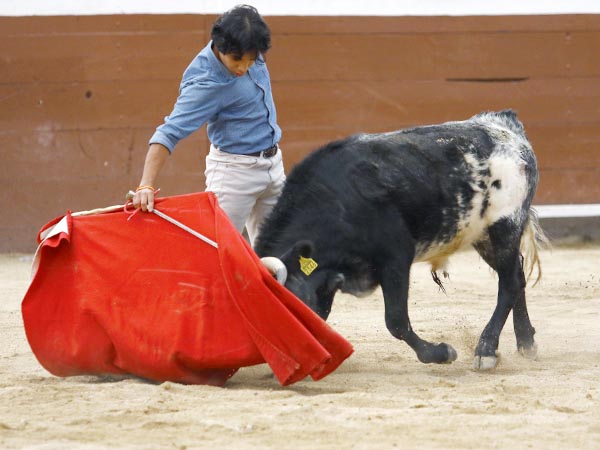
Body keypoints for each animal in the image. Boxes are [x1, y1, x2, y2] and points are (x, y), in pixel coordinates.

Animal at [255, 110, 548, 370]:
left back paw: (486, 350)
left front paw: (442, 353)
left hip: (505, 225)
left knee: (509, 283)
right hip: (482, 235)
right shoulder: (330, 280)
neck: (333, 203)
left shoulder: (395, 257)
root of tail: (506, 125)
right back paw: (526, 343)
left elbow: (395, 321)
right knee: (517, 276)